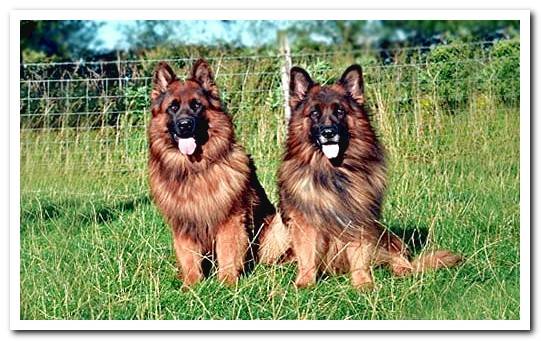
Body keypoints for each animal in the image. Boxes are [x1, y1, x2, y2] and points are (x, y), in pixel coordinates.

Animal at [148, 59, 276, 286]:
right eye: (173, 107)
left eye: (196, 105)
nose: (185, 125)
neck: (194, 170)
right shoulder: (184, 225)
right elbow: (189, 257)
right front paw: (191, 285)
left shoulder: (230, 221)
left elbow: (228, 253)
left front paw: (227, 283)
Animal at [278, 63, 460, 286]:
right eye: (314, 113)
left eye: (340, 111)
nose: (328, 133)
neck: (334, 173)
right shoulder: (305, 222)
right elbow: (307, 254)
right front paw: (305, 283)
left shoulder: (360, 218)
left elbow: (359, 255)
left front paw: (363, 283)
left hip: (383, 234)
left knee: (398, 254)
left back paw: (403, 269)